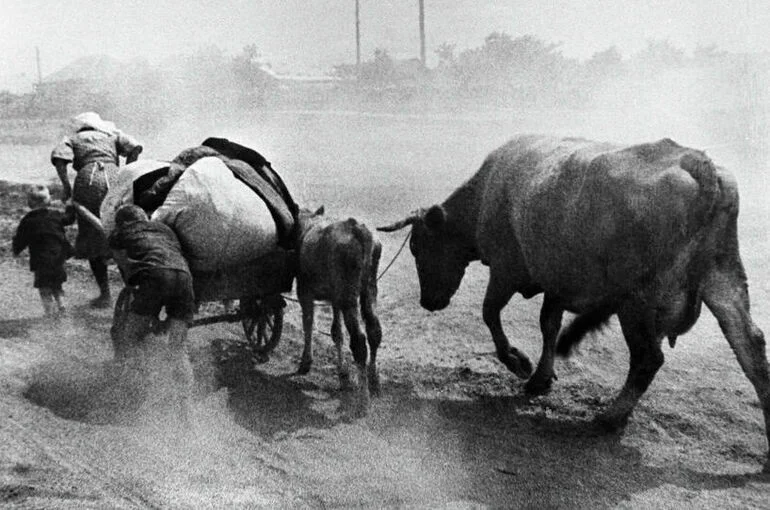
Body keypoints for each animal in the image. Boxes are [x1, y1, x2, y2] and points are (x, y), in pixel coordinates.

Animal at [296, 206, 383, 416]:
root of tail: (358, 228)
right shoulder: (335, 299)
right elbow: (336, 332)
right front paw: (343, 374)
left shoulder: (304, 293)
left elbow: (308, 325)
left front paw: (306, 362)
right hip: (368, 289)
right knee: (374, 331)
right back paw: (374, 382)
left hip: (348, 296)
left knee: (359, 342)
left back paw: (363, 400)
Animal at [378, 134, 770, 471]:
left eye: (420, 247)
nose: (428, 302)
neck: (486, 195)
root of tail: (697, 162)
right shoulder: (557, 284)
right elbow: (548, 325)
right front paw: (541, 377)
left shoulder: (505, 271)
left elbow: (490, 314)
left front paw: (518, 362)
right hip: (723, 280)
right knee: (751, 350)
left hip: (637, 303)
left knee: (648, 359)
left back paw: (610, 417)